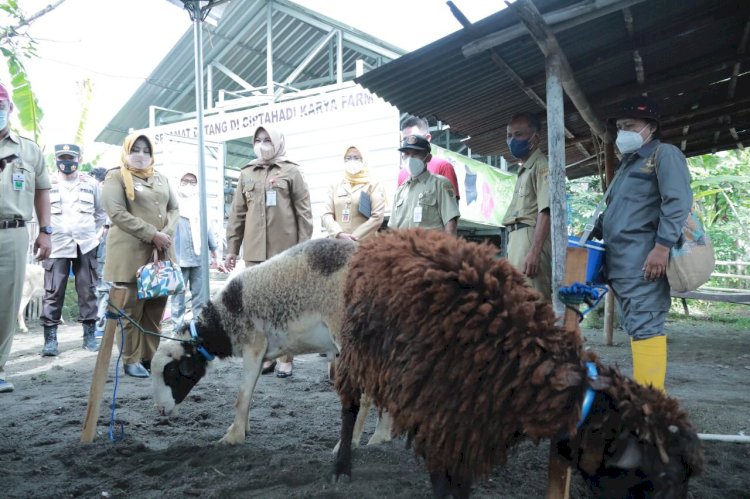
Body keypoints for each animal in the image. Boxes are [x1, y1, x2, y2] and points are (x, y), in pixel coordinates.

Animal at [334, 229, 704, 499]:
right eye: (663, 478)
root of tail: (389, 235)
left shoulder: (468, 431)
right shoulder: (443, 425)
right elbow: (444, 486)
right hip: (352, 354)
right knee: (349, 405)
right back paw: (342, 466)